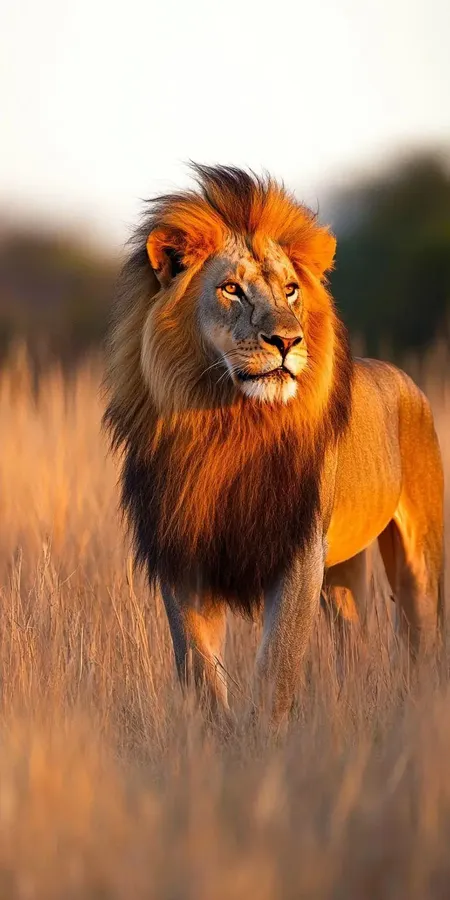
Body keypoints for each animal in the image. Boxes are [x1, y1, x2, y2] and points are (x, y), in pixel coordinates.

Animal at [104, 164, 444, 726]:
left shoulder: (298, 551)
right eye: (232, 290)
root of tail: (402, 377)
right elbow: (199, 667)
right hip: (344, 572)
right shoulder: (183, 549)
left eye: (290, 290)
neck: (229, 424)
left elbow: (276, 669)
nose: (288, 340)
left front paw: (264, 739)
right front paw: (217, 741)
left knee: (423, 638)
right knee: (352, 643)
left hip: (418, 558)